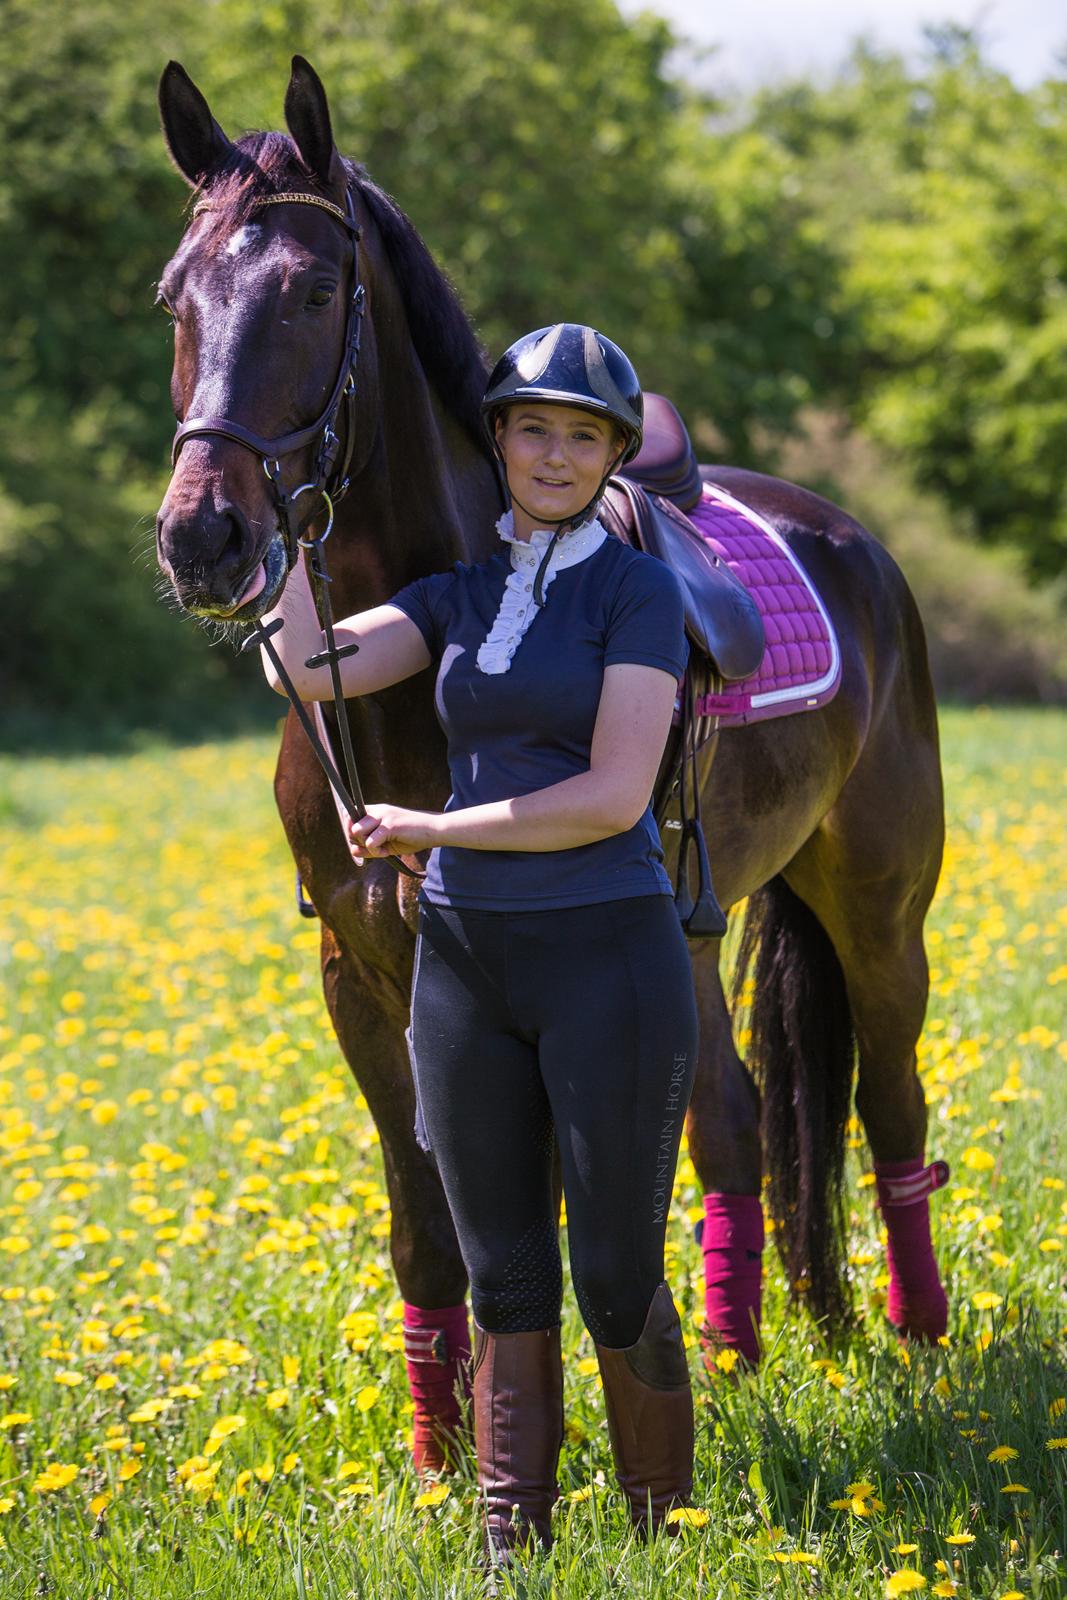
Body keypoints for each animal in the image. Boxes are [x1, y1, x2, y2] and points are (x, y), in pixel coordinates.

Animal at [154, 56, 947, 1465]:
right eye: (171, 296)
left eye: (313, 289)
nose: (203, 538)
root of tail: (852, 543)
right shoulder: (358, 973)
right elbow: (429, 1229)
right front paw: (440, 1462)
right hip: (693, 928)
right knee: (735, 1122)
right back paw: (738, 1359)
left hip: (877, 913)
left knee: (888, 1108)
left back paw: (912, 1340)